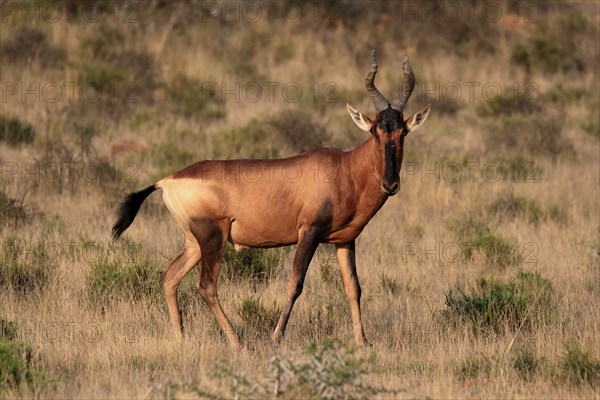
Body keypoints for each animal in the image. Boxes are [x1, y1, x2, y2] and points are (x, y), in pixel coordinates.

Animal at [112, 51, 428, 348]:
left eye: (402, 132)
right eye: (375, 131)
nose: (390, 184)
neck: (344, 168)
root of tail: (167, 180)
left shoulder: (344, 240)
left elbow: (353, 288)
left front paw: (363, 341)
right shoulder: (309, 232)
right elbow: (295, 284)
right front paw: (276, 336)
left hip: (193, 242)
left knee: (170, 276)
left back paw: (181, 338)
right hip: (212, 237)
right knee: (206, 286)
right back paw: (238, 343)